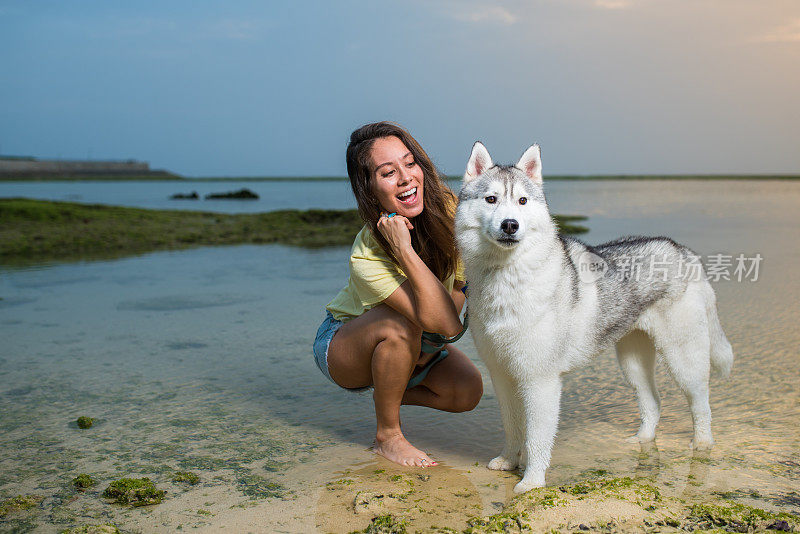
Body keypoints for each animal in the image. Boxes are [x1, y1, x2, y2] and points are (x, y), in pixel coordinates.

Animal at [454, 141, 736, 494]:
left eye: (522, 201)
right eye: (491, 199)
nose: (510, 225)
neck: (506, 276)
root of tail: (684, 251)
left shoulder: (540, 380)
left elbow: (536, 437)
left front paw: (532, 481)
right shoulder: (502, 374)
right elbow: (512, 426)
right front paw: (508, 461)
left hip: (684, 360)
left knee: (701, 404)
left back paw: (702, 446)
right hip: (632, 361)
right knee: (653, 401)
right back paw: (643, 439)